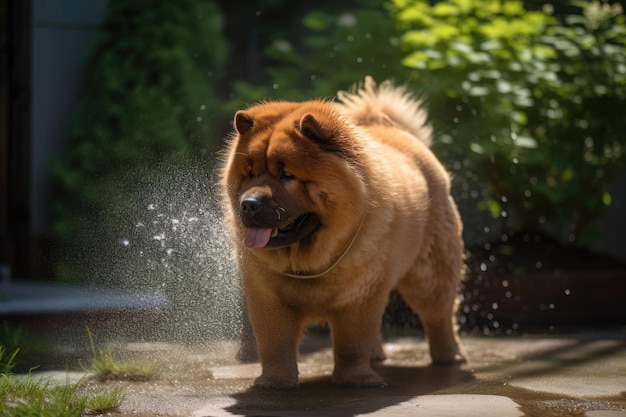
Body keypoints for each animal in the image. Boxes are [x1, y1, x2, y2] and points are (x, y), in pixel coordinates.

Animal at [219, 77, 464, 386]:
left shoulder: (357, 297)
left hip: (429, 275)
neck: (308, 260)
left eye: (287, 175)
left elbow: (351, 343)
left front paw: (355, 379)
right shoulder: (268, 299)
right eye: (250, 173)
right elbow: (275, 343)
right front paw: (275, 381)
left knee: (439, 314)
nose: (249, 204)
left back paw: (449, 355)